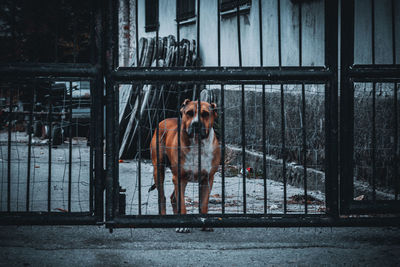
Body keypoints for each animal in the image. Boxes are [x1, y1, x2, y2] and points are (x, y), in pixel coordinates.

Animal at [149, 99, 220, 233]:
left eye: (205, 114)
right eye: (189, 113)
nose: (196, 124)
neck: (197, 145)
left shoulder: (207, 179)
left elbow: (204, 204)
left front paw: (205, 223)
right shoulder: (179, 178)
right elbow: (181, 203)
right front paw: (183, 225)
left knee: (173, 197)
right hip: (159, 170)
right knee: (162, 196)